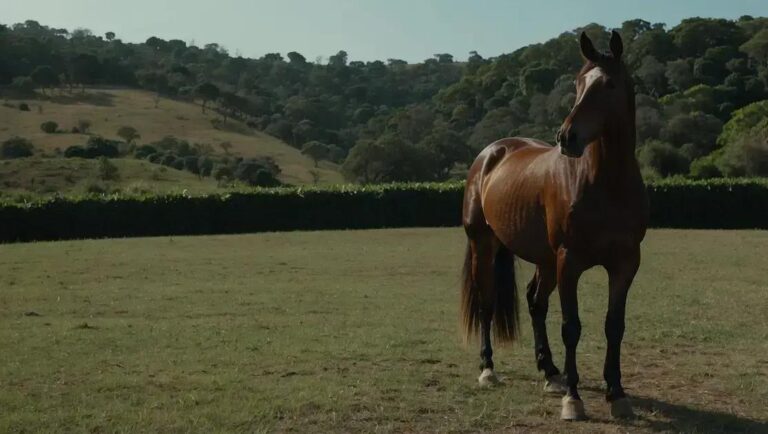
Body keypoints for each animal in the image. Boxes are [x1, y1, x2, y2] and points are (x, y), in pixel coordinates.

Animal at [460, 30, 648, 421]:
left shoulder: (625, 264)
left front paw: (617, 394)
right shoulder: (569, 262)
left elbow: (614, 326)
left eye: (609, 84)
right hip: (484, 246)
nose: (567, 138)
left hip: (544, 260)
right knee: (487, 303)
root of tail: (491, 153)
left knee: (535, 302)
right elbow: (571, 328)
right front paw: (574, 400)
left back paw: (548, 371)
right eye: (578, 84)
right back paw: (488, 369)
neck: (606, 185)